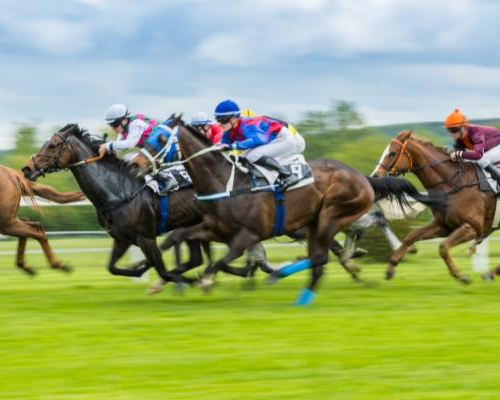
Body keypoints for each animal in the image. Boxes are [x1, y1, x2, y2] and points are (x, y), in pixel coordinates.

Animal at [21, 123, 209, 286]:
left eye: (52, 145)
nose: (27, 169)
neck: (118, 193)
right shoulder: (121, 239)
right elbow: (113, 267)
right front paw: (140, 269)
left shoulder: (146, 238)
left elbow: (163, 271)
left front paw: (187, 280)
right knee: (196, 259)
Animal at [161, 123, 446, 304]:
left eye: (160, 140)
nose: (151, 168)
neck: (227, 180)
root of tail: (363, 177)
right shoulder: (220, 229)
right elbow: (183, 242)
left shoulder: (247, 234)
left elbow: (230, 261)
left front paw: (200, 280)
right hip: (321, 221)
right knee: (338, 245)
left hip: (332, 215)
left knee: (369, 225)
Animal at [374, 130, 498, 282]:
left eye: (392, 152)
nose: (375, 175)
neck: (453, 183)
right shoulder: (444, 226)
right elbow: (411, 236)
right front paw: (391, 267)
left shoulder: (472, 228)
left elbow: (443, 247)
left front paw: (460, 275)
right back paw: (490, 273)